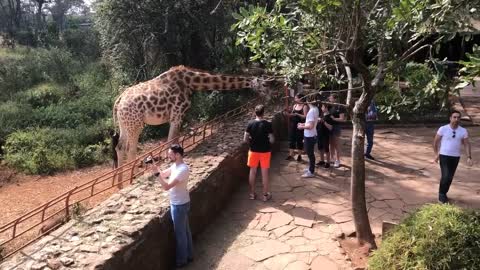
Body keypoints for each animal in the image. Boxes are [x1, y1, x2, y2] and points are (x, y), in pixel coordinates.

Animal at [109, 65, 274, 184]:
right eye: (265, 85)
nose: (271, 96)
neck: (191, 82)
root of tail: (118, 101)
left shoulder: (177, 115)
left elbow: (171, 141)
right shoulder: (177, 113)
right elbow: (172, 140)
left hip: (126, 123)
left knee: (120, 147)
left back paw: (120, 185)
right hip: (136, 123)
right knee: (131, 149)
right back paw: (133, 178)